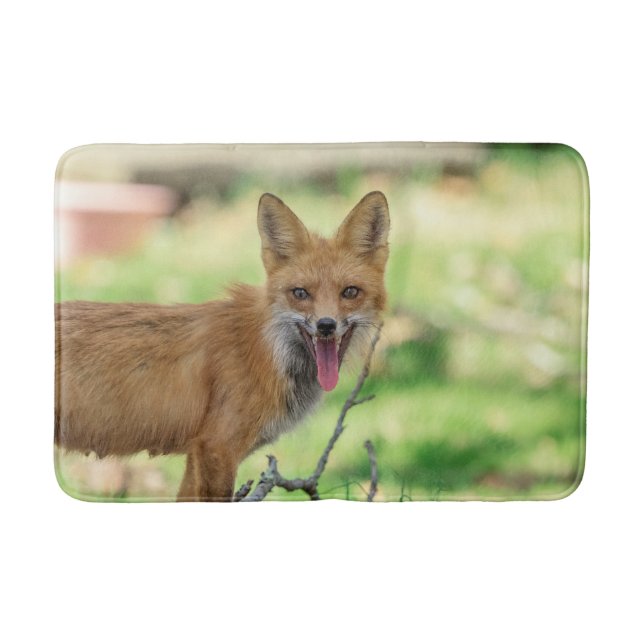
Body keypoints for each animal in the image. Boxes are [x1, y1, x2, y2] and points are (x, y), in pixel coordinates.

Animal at [55, 191, 390, 501]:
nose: (326, 326)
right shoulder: (217, 447)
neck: (266, 351)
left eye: (350, 292)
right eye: (300, 293)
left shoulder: (197, 453)